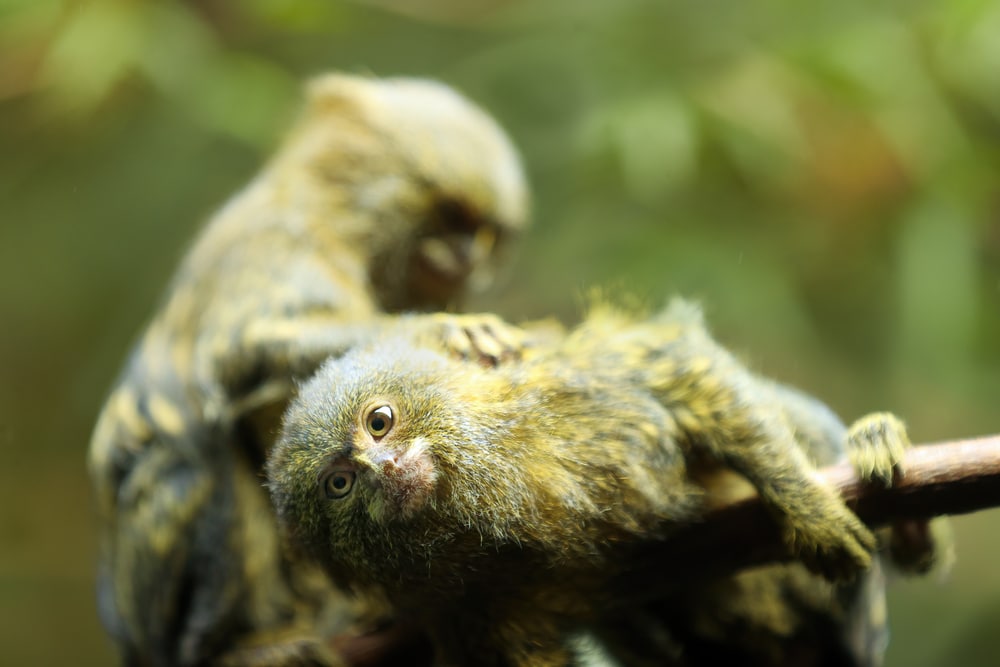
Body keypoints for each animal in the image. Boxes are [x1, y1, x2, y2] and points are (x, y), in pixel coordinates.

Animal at [87, 72, 530, 667]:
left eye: (483, 232)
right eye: (450, 219)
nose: (466, 257)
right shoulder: (281, 240)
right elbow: (244, 349)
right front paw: (439, 330)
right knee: (197, 466)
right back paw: (244, 643)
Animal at [267, 298, 927, 667]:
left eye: (379, 421)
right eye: (339, 485)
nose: (384, 471)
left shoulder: (589, 393)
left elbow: (685, 372)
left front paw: (811, 514)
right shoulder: (472, 606)